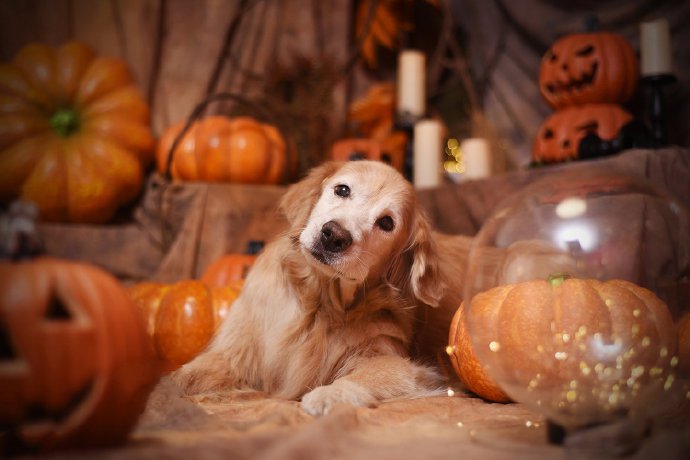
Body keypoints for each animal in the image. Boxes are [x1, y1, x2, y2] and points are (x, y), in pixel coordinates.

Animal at [172, 160, 468, 416]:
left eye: (387, 223)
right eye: (342, 189)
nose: (334, 236)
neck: (319, 301)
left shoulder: (401, 364)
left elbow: (361, 376)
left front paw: (329, 394)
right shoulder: (237, 354)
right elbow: (185, 374)